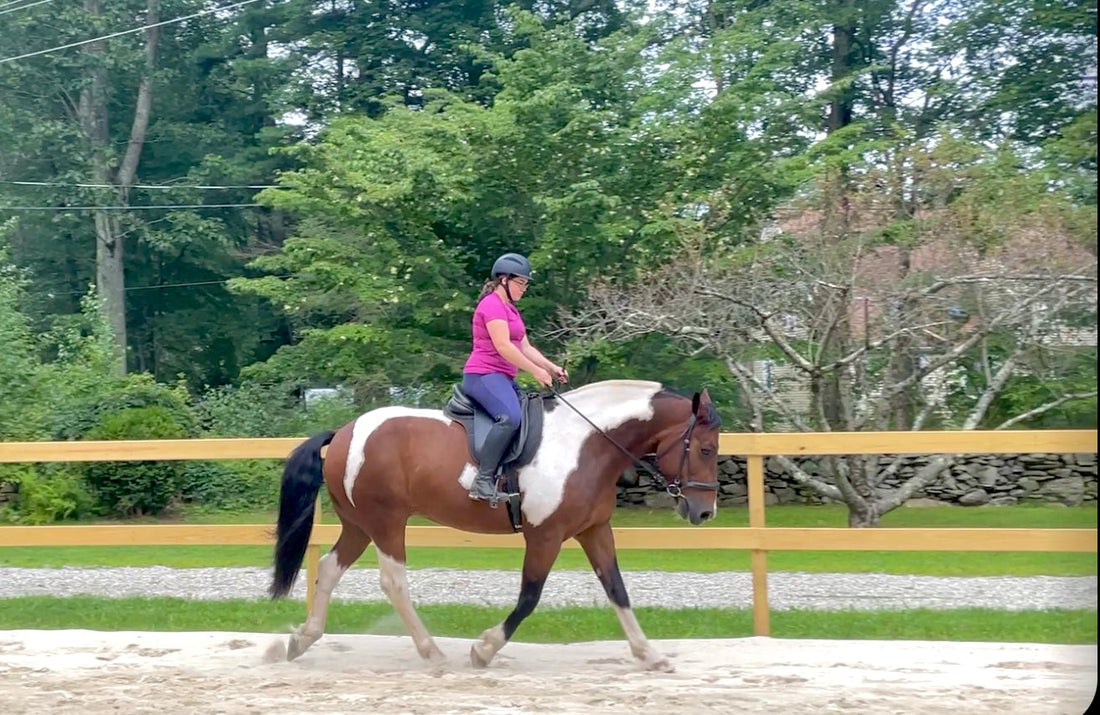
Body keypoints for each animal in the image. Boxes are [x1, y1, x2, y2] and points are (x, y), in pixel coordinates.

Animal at [268, 379, 722, 671]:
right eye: (704, 449)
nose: (704, 512)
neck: (585, 444)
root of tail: (345, 432)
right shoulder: (546, 536)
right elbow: (529, 597)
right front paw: (484, 649)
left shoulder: (594, 530)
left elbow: (617, 589)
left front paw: (650, 655)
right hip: (386, 522)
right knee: (393, 582)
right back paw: (432, 653)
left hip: (360, 525)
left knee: (329, 569)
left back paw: (301, 640)